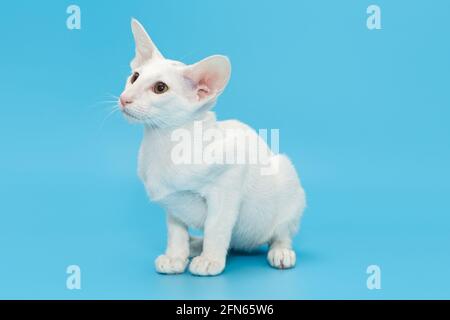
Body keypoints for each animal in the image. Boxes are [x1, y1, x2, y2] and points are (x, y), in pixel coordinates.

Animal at [118, 18, 306, 276]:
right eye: (134, 77)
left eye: (160, 88)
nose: (124, 99)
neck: (163, 143)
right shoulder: (172, 203)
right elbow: (176, 231)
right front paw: (176, 256)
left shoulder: (228, 183)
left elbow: (216, 227)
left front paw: (210, 260)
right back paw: (194, 245)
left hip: (286, 177)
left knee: (281, 233)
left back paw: (280, 252)